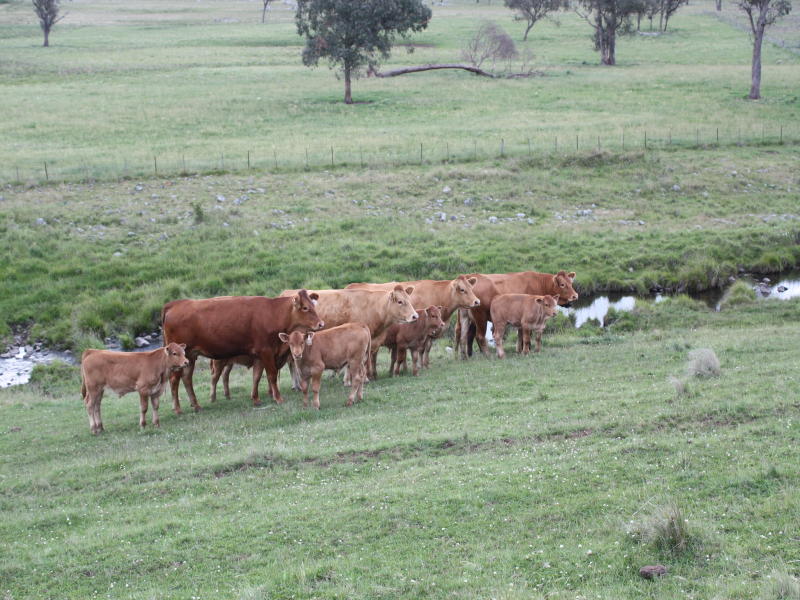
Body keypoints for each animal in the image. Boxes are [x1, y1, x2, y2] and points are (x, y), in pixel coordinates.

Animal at [162, 290, 324, 412]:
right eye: (305, 308)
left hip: (190, 356)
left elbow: (256, 376)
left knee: (187, 379)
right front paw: (278, 398)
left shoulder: (258, 355)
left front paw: (256, 399)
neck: (272, 313)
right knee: (174, 381)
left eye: (313, 305)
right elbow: (271, 376)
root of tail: (175, 304)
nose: (321, 323)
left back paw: (196, 405)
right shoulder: (266, 352)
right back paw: (177, 409)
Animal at [346, 275, 481, 367]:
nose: (477, 301)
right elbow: (420, 349)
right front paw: (420, 365)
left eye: (471, 287)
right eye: (462, 289)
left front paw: (426, 364)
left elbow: (427, 348)